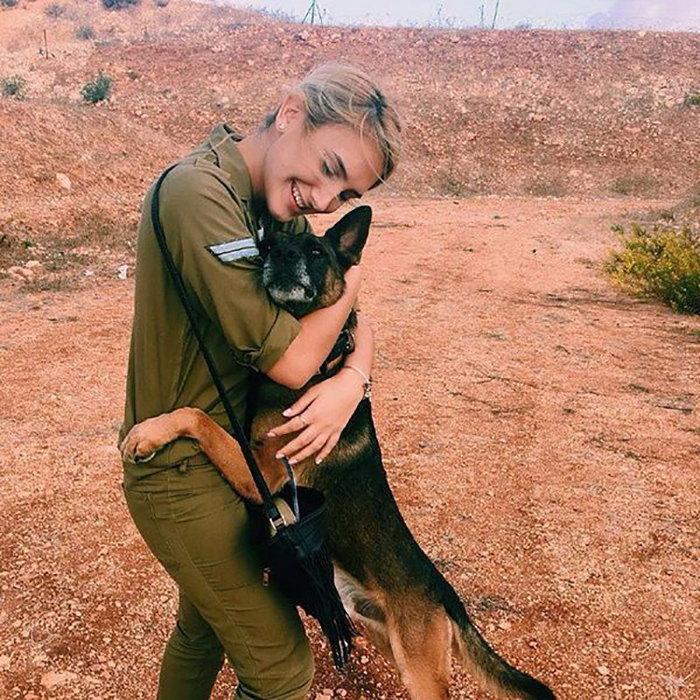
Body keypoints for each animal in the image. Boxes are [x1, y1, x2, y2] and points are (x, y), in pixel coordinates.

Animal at [121, 206, 556, 700]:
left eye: (314, 251)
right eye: (271, 247)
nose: (283, 255)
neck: (321, 365)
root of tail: (445, 594)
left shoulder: (262, 472)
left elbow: (198, 417)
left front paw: (148, 433)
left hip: (420, 668)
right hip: (383, 638)